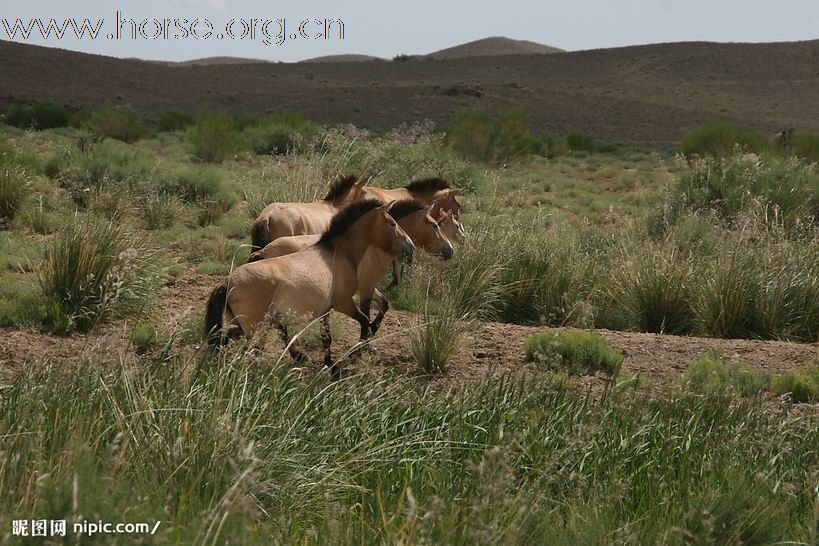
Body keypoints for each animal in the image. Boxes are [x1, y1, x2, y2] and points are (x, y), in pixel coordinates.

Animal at [203, 200, 410, 378]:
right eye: (392, 223)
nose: (410, 246)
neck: (337, 253)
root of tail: (227, 283)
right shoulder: (344, 303)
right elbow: (365, 323)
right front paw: (353, 354)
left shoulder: (325, 311)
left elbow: (327, 337)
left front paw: (330, 365)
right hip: (257, 329)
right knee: (250, 353)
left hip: (240, 326)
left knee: (223, 342)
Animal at [247, 199, 458, 336]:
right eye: (434, 226)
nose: (450, 250)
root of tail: (264, 252)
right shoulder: (365, 289)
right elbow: (367, 314)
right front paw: (366, 339)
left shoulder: (369, 287)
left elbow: (384, 304)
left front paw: (372, 330)